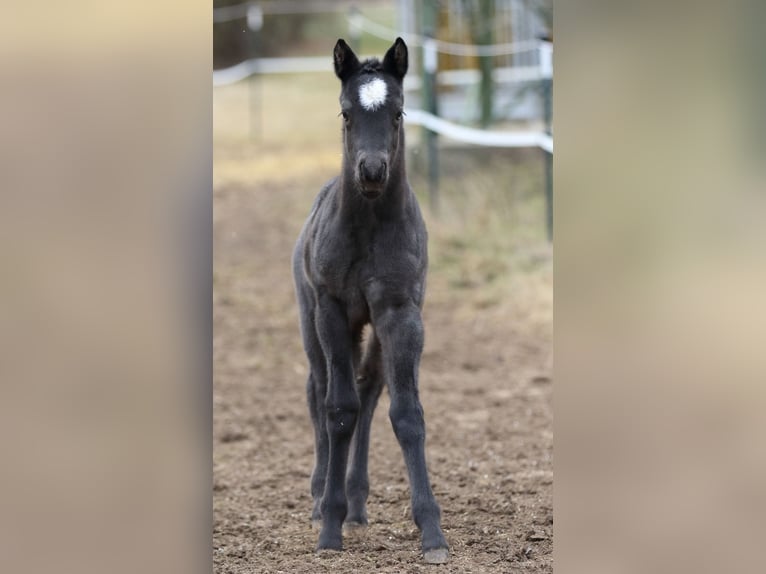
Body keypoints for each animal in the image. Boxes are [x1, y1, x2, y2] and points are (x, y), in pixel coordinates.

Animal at [292, 38, 450, 564]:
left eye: (399, 112)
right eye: (345, 112)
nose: (373, 170)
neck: (368, 229)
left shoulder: (400, 315)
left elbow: (405, 414)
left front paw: (432, 532)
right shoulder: (332, 312)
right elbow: (337, 409)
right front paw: (329, 529)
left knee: (369, 390)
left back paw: (357, 503)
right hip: (311, 323)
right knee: (318, 392)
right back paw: (322, 497)